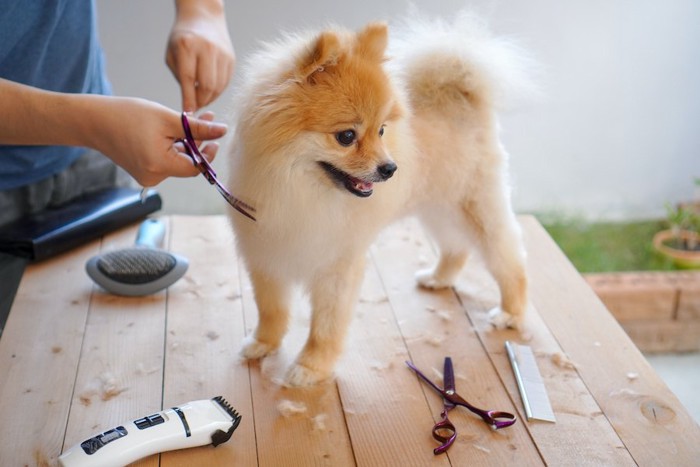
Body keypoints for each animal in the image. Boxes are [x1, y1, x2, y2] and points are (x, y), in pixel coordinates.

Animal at [228, 13, 532, 388]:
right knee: (457, 246)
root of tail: (463, 93)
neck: (301, 190)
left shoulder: (338, 265)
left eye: (382, 130)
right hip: (438, 207)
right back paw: (439, 277)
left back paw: (510, 312)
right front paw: (263, 344)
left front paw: (310, 367)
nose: (390, 168)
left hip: (476, 205)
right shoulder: (267, 252)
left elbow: (325, 325)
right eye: (347, 136)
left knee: (509, 260)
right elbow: (271, 310)